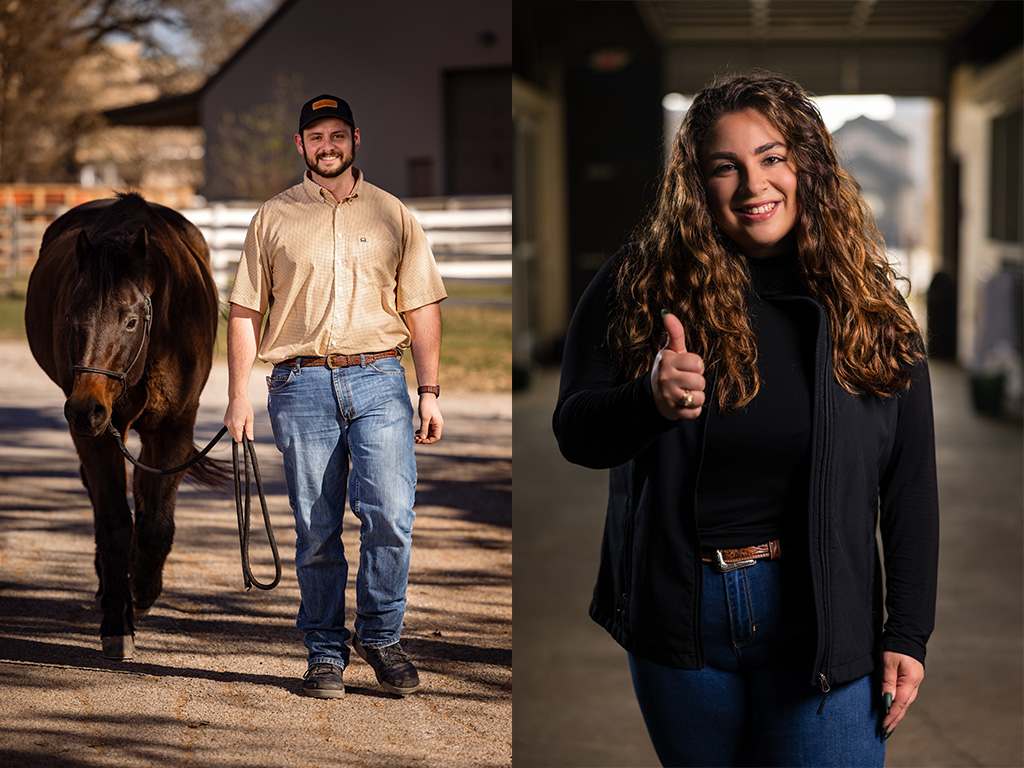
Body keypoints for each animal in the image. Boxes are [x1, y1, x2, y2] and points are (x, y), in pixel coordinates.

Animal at [25, 192, 222, 663]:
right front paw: (118, 622)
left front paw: (144, 592)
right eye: (72, 318)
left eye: (130, 320)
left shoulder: (172, 428)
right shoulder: (99, 435)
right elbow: (115, 523)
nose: (84, 409)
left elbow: (155, 524)